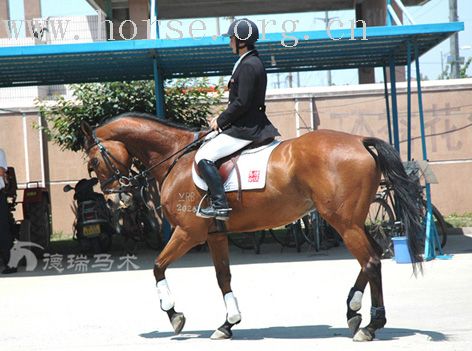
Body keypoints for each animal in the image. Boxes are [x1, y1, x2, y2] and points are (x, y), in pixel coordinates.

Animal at [79, 112, 422, 340]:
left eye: (94, 162)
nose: (116, 198)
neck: (176, 157)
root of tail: (360, 142)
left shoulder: (188, 233)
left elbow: (158, 266)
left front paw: (174, 314)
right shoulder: (215, 235)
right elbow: (223, 277)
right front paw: (228, 323)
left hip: (344, 222)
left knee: (371, 261)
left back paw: (370, 325)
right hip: (353, 221)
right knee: (371, 257)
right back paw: (353, 311)